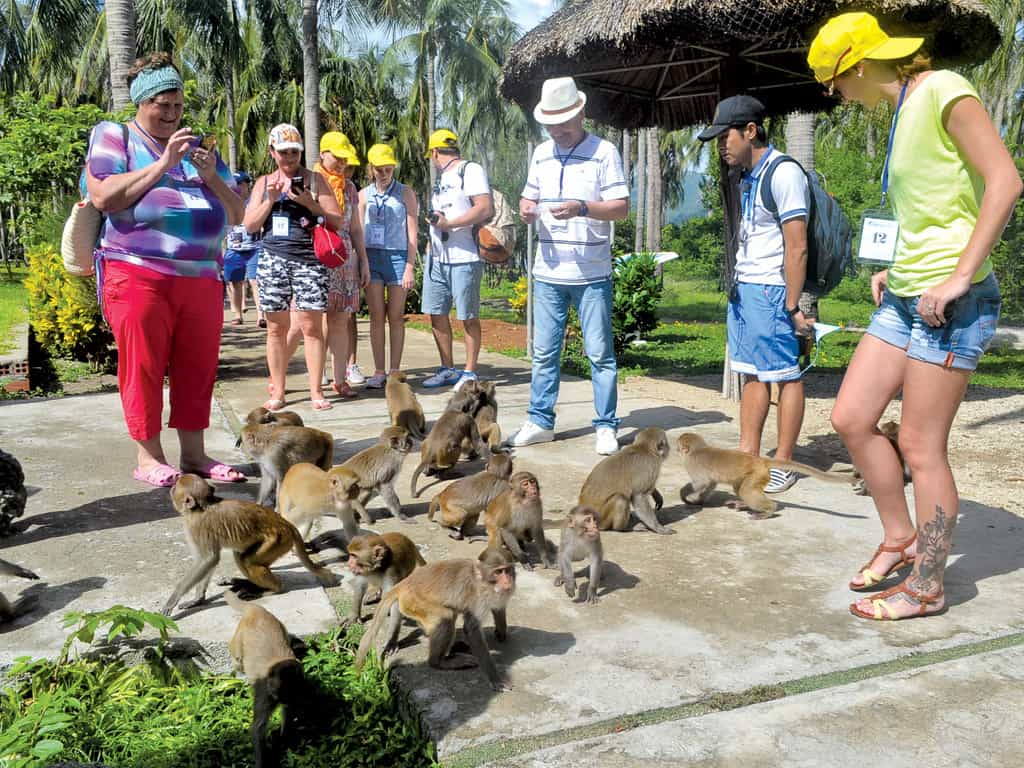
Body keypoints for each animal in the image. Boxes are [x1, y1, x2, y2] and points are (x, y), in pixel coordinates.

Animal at [163, 475, 338, 615]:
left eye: (176, 486)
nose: (171, 488)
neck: (202, 506)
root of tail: (287, 524)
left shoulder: (196, 527)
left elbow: (207, 559)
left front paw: (173, 599)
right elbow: (210, 561)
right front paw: (198, 599)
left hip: (278, 540)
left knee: (247, 560)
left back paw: (272, 589)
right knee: (241, 556)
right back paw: (246, 583)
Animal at [225, 590, 305, 768]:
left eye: (288, 694)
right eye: (278, 692)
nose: (282, 700)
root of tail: (256, 610)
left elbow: (288, 711)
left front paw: (284, 740)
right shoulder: (265, 692)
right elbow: (258, 728)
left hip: (280, 625)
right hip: (239, 637)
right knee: (238, 660)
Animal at [354, 553, 516, 692]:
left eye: (507, 570)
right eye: (498, 572)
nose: (507, 581)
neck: (482, 581)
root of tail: (404, 583)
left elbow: (498, 608)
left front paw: (501, 631)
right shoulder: (479, 597)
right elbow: (472, 630)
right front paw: (496, 679)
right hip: (414, 601)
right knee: (447, 616)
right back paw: (439, 662)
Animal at [676, 432, 853, 520]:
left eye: (678, 445)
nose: (677, 449)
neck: (696, 450)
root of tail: (760, 460)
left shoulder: (693, 464)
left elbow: (701, 483)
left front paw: (686, 495)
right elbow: (710, 484)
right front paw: (699, 500)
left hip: (757, 474)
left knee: (746, 491)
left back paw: (768, 510)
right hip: (756, 475)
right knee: (741, 488)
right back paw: (744, 504)